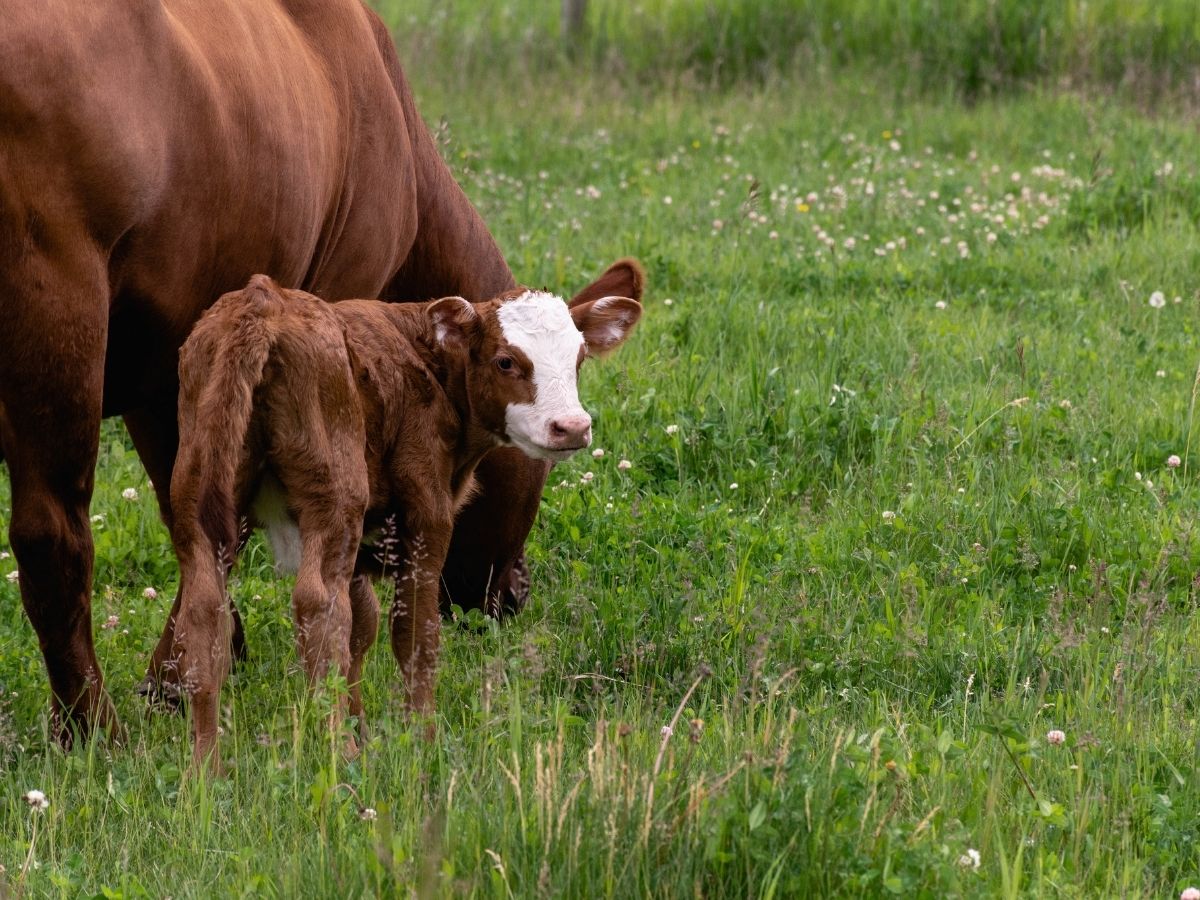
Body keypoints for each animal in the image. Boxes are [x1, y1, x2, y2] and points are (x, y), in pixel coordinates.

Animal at [0, 3, 576, 744]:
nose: (514, 592)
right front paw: (177, 677)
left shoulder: (172, 374)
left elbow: (194, 516)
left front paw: (199, 662)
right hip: (57, 316)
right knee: (52, 535)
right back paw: (91, 728)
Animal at [172, 262, 643, 768]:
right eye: (505, 361)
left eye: (579, 358)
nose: (571, 427)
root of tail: (263, 302)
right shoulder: (426, 509)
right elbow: (415, 631)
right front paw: (422, 740)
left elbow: (363, 625)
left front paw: (362, 726)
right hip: (335, 494)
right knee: (319, 605)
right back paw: (339, 757)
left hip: (198, 490)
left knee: (204, 609)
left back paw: (205, 766)